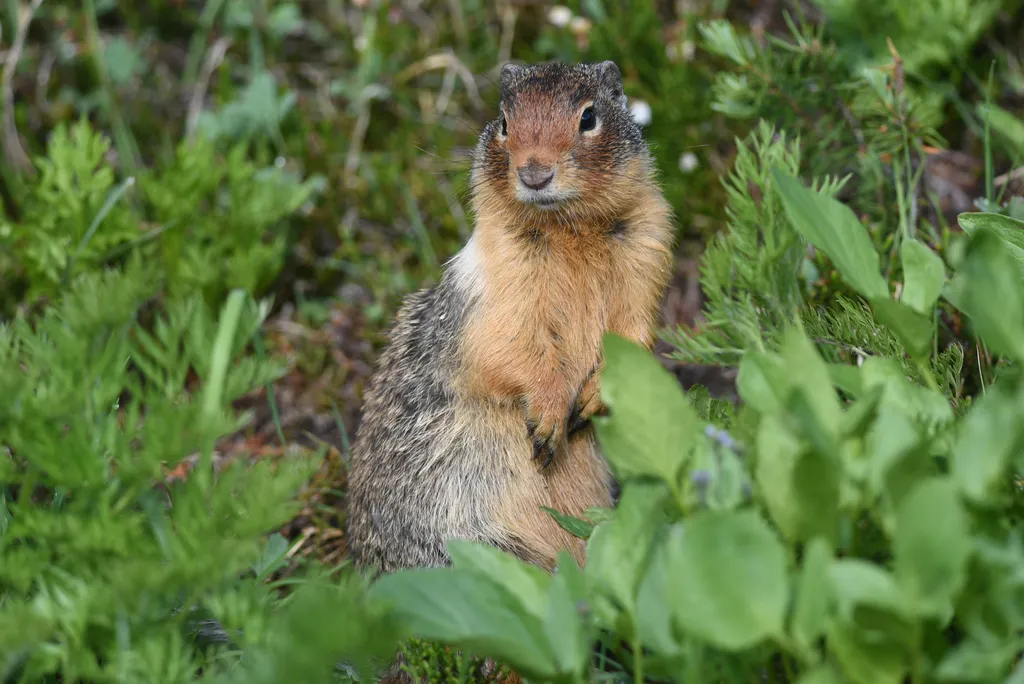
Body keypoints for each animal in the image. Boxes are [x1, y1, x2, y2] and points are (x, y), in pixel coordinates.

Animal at [345, 59, 675, 579]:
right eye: (504, 121)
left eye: (589, 117)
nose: (534, 173)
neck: (568, 228)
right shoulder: (496, 289)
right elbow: (510, 344)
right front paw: (549, 416)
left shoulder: (648, 245)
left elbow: (635, 331)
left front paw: (594, 397)